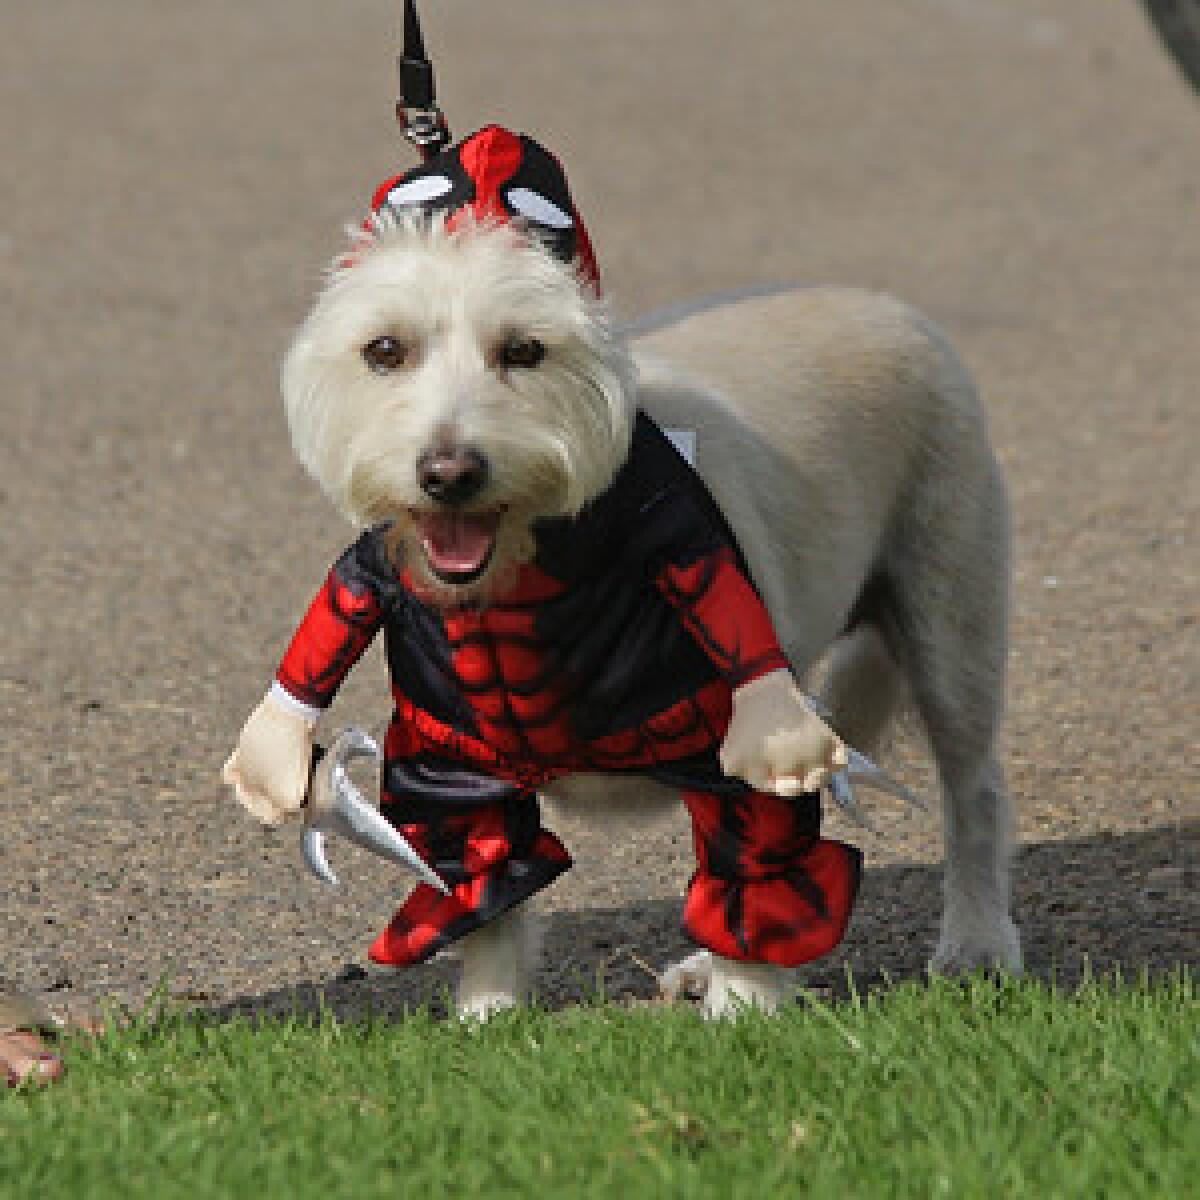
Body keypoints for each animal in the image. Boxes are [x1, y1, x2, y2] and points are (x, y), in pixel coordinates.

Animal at [223, 131, 1012, 1017]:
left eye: (524, 350)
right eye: (383, 351)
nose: (449, 472)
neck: (529, 574)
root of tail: (887, 304)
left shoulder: (742, 729)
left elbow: (756, 873)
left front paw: (745, 1012)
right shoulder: (455, 770)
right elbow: (488, 890)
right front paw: (488, 1014)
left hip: (952, 624)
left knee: (973, 790)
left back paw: (977, 944)